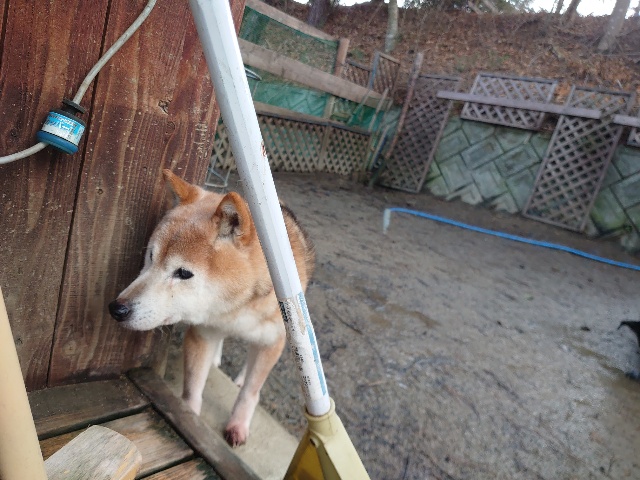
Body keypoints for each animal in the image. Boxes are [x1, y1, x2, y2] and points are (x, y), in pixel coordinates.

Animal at [108, 169, 315, 446]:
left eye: (183, 273)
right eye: (151, 257)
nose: (117, 309)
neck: (235, 309)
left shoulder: (273, 341)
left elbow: (251, 392)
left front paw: (238, 424)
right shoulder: (202, 334)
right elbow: (193, 388)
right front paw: (191, 420)